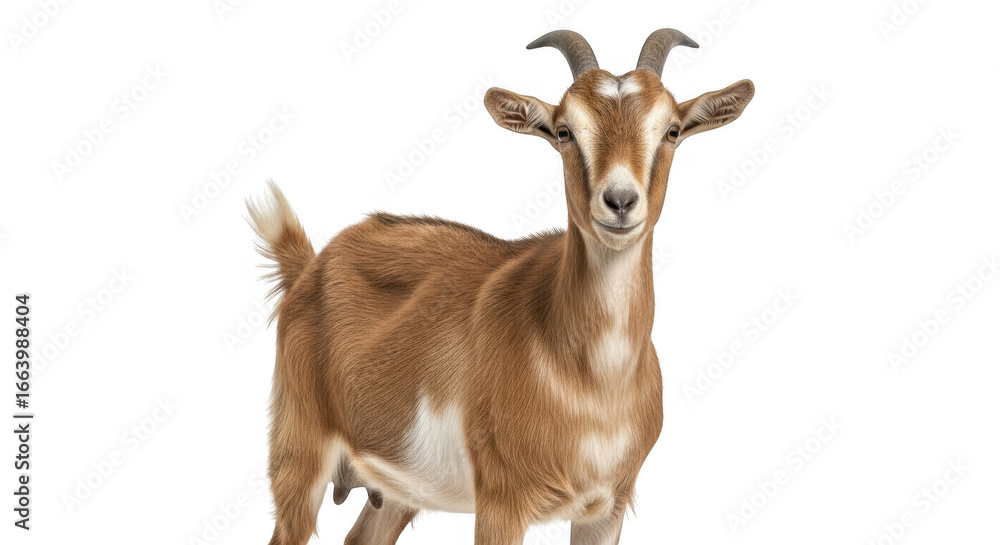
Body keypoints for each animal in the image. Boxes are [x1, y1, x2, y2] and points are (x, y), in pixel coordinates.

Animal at [248, 29, 754, 545]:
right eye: (564, 131)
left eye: (671, 130)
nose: (619, 201)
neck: (594, 383)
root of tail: (311, 265)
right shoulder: (501, 500)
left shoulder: (607, 507)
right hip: (300, 451)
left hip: (396, 489)